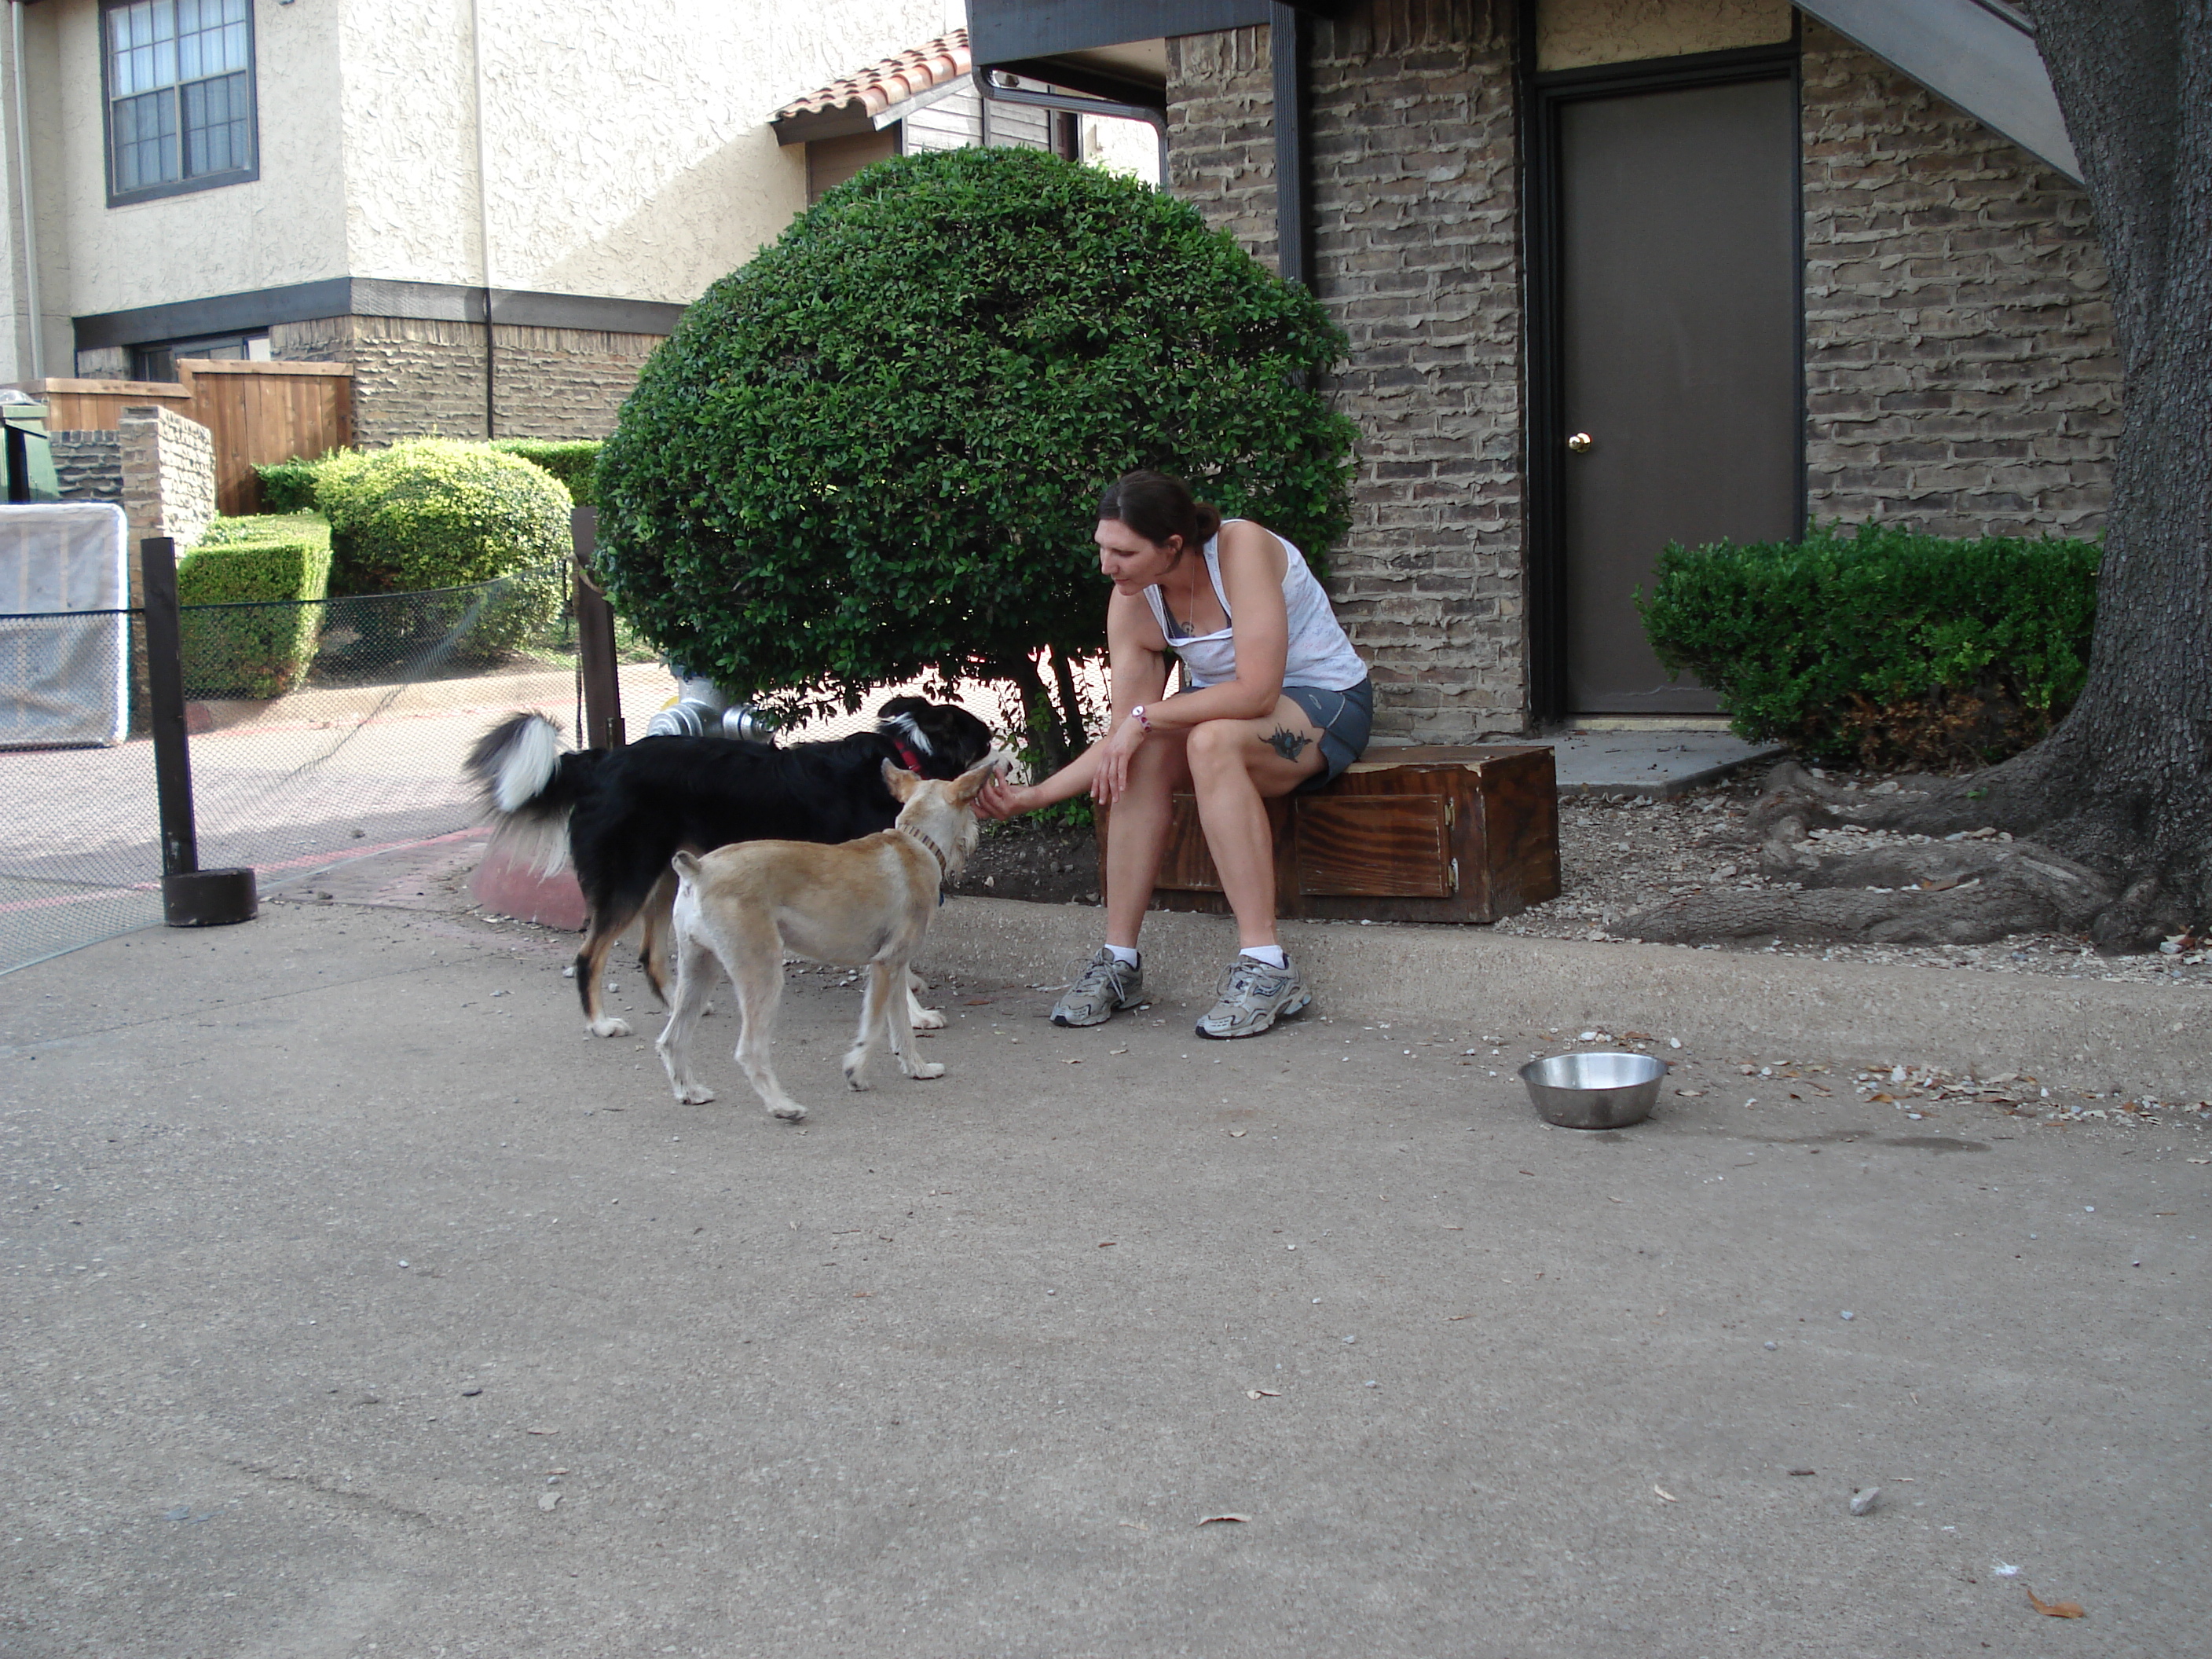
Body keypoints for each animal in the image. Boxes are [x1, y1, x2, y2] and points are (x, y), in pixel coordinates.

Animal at [467, 695, 995, 1037]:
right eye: (984, 740)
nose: (1002, 759)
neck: (912, 758)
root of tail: (601, 761)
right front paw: (917, 1011)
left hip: (665, 876)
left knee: (650, 954)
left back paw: (682, 1005)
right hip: (630, 878)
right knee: (588, 955)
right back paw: (600, 1023)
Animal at [656, 756, 1002, 1120]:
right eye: (970, 810)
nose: (977, 835)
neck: (915, 842)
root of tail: (698, 871)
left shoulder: (895, 969)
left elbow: (902, 1029)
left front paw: (917, 1068)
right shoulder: (885, 966)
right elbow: (873, 1028)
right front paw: (856, 1072)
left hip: (699, 970)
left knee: (672, 1039)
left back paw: (690, 1091)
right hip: (761, 975)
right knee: (749, 1050)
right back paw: (782, 1106)